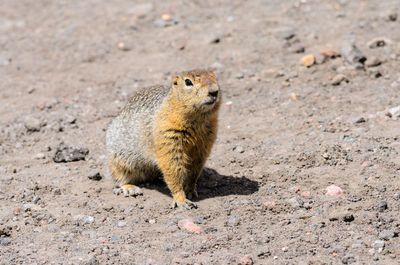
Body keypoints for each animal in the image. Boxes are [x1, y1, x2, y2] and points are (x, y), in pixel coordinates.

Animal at [104, 69, 220, 208]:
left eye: (215, 77)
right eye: (188, 82)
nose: (214, 91)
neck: (198, 120)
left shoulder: (206, 141)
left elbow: (195, 168)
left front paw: (190, 189)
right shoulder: (168, 135)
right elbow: (172, 166)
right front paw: (181, 200)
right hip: (119, 157)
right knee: (119, 176)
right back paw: (129, 188)